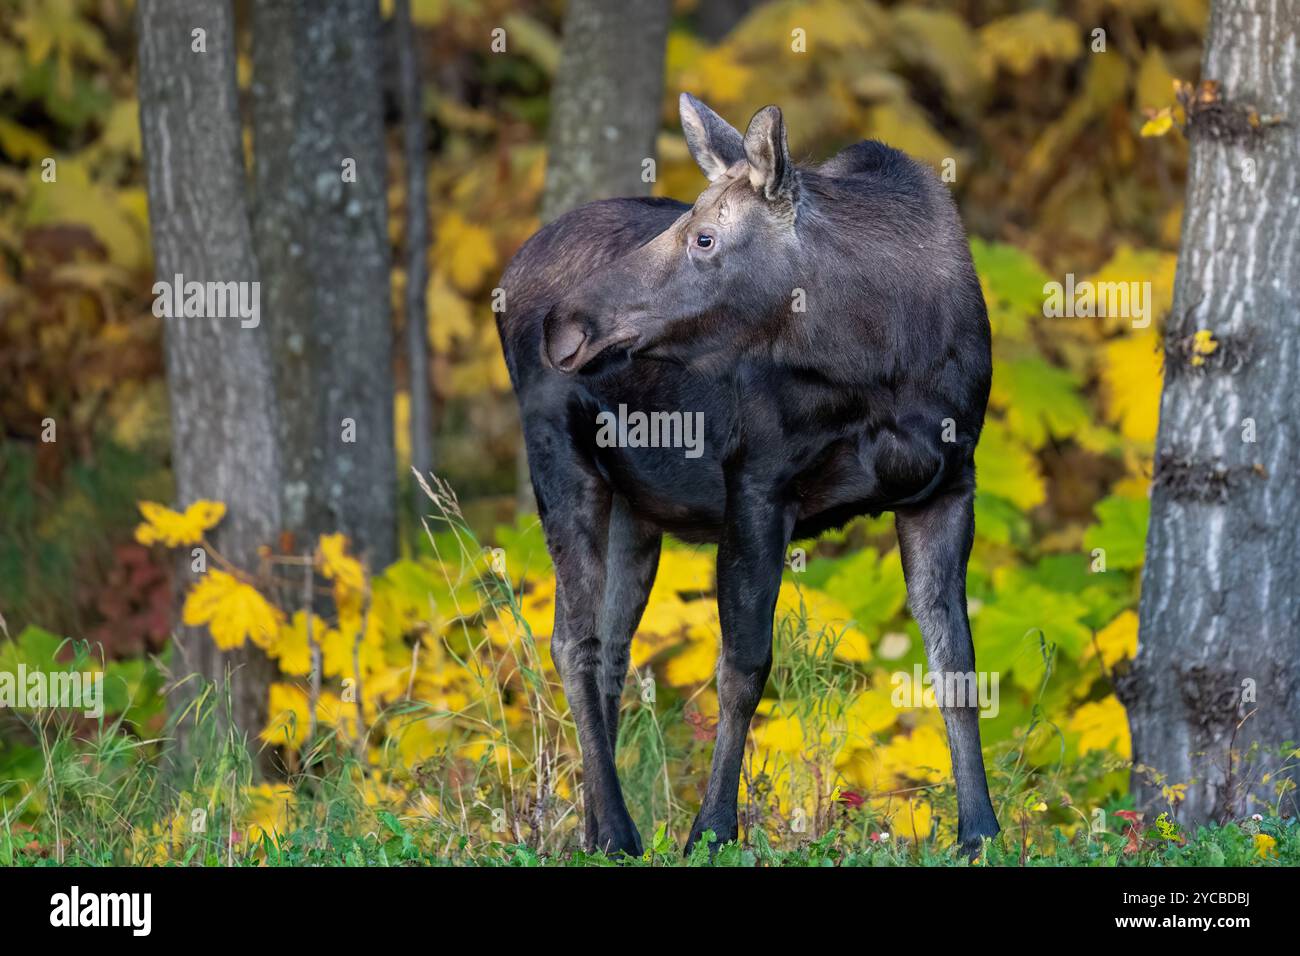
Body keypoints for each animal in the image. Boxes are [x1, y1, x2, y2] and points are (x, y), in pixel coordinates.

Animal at [493, 93, 993, 858]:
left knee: (610, 649)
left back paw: (593, 828)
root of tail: (512, 274)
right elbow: (744, 668)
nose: (566, 326)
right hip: (557, 455)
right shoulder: (757, 481)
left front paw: (980, 831)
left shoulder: (948, 486)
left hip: (637, 507)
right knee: (572, 642)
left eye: (705, 238)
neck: (884, 359)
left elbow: (957, 666)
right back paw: (617, 832)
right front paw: (710, 829)